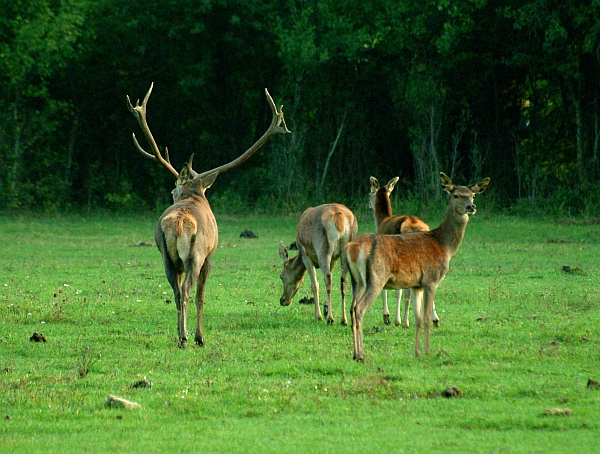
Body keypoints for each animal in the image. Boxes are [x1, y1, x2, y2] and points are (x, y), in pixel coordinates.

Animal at [126, 83, 288, 348]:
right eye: (172, 191)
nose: (172, 195)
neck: (193, 194)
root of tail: (178, 223)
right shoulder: (210, 255)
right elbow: (202, 297)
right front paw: (200, 336)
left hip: (167, 257)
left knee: (176, 291)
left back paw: (180, 335)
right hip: (196, 255)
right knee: (187, 292)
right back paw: (187, 338)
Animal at [368, 176, 438, 328]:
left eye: (370, 192)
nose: (368, 204)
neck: (381, 221)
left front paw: (388, 317)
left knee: (407, 290)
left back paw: (404, 321)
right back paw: (435, 320)